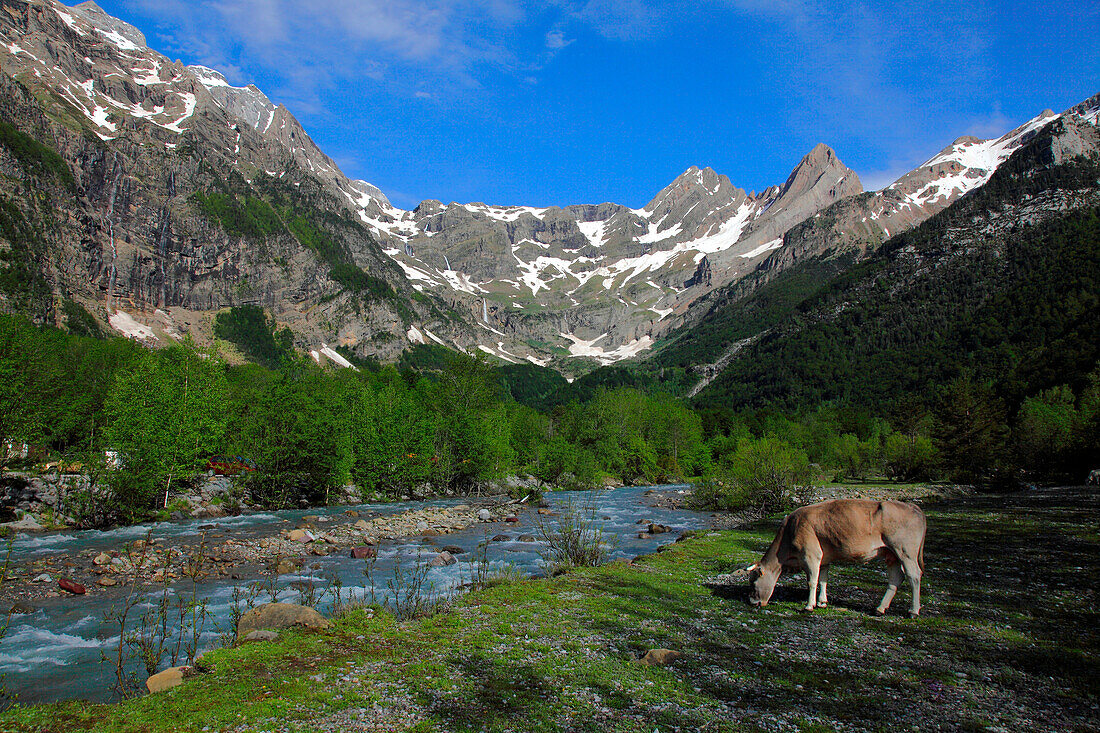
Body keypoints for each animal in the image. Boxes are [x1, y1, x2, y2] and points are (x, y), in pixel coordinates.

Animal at [748, 497, 928, 616]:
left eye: (753, 582)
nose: (752, 602)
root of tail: (913, 506)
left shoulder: (811, 555)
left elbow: (812, 581)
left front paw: (809, 605)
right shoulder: (824, 558)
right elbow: (823, 580)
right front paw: (822, 602)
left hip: (905, 551)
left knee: (913, 575)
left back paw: (913, 611)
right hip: (891, 554)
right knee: (896, 577)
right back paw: (880, 608)